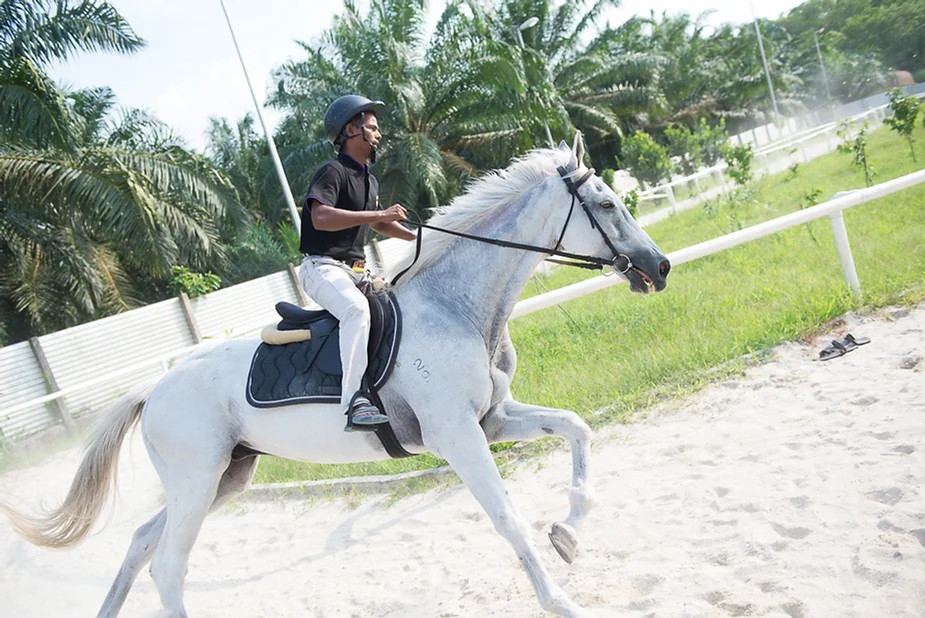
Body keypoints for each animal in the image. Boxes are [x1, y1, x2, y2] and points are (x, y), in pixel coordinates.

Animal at [0, 133, 670, 618]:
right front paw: (561, 600)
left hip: (225, 478)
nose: (659, 267)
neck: (455, 306)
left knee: (142, 543)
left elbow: (577, 428)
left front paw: (570, 532)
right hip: (198, 482)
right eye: (606, 205)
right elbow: (506, 516)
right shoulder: (458, 435)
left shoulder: (493, 419)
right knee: (166, 564)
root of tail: (154, 387)